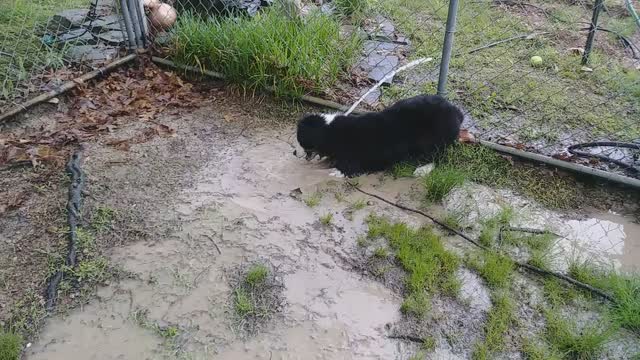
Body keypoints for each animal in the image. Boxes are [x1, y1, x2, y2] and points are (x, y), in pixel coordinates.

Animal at [296, 94, 464, 176]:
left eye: (301, 141)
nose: (293, 152)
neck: (329, 131)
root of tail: (456, 111)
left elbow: (348, 166)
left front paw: (335, 171)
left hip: (433, 140)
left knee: (438, 156)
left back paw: (423, 169)